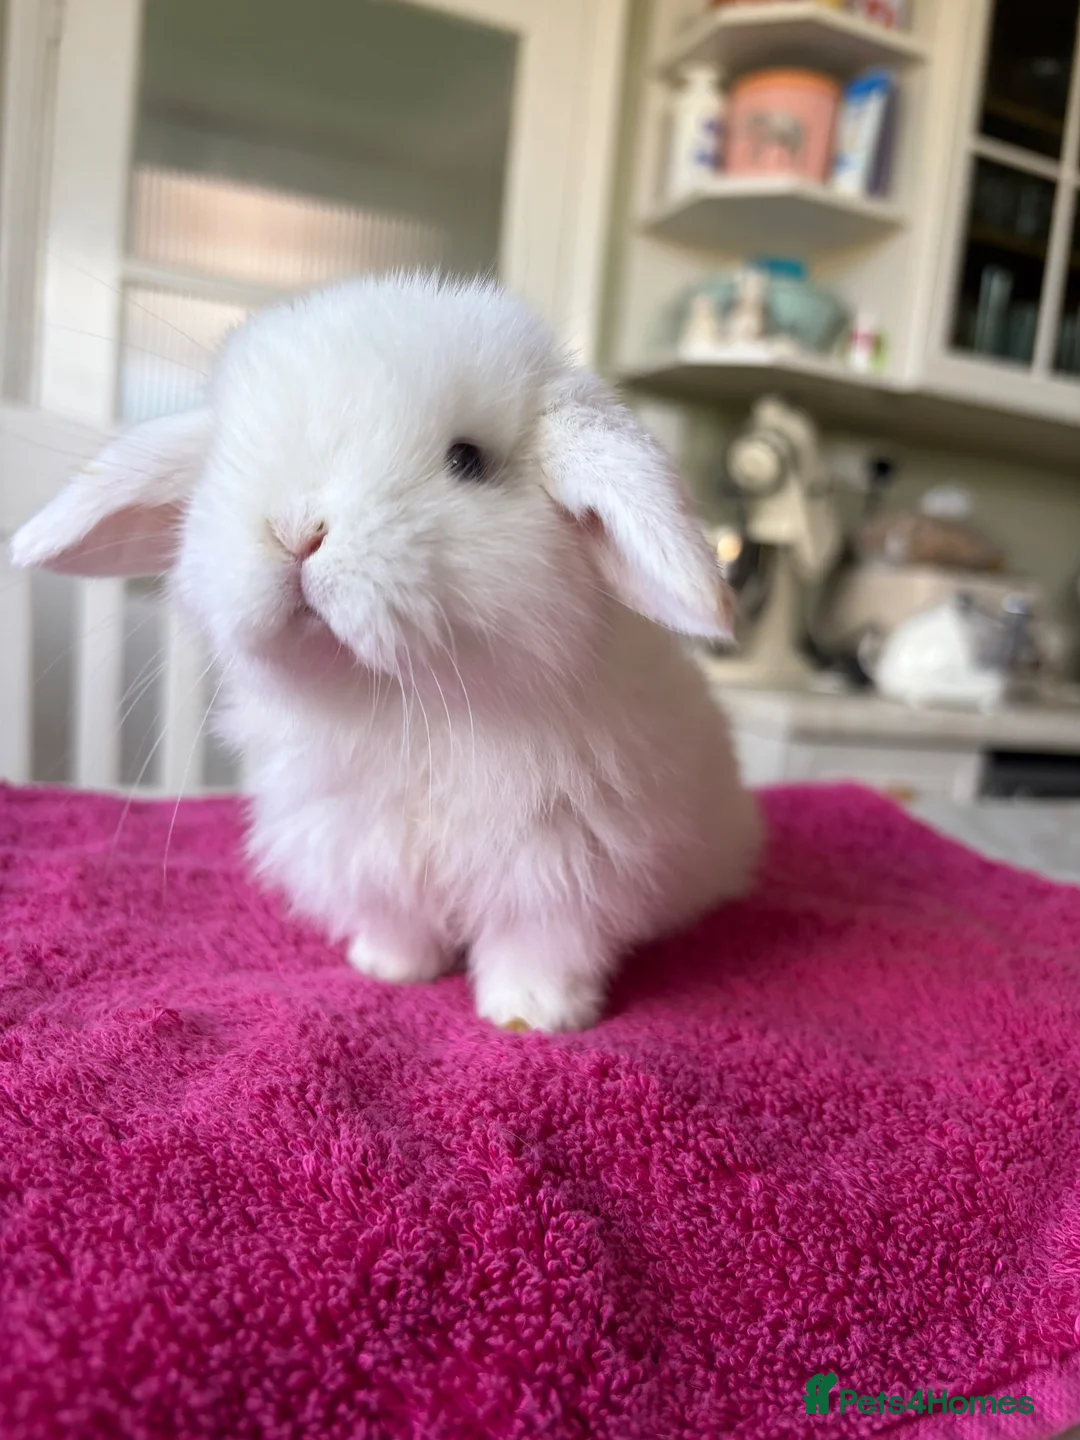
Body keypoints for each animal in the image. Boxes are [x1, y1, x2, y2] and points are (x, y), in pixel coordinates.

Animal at [12, 272, 762, 1032]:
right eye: (227, 455)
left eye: (467, 460)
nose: (296, 529)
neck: (405, 706)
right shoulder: (362, 851)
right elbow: (399, 922)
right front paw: (389, 969)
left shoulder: (567, 867)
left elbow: (539, 945)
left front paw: (534, 1017)